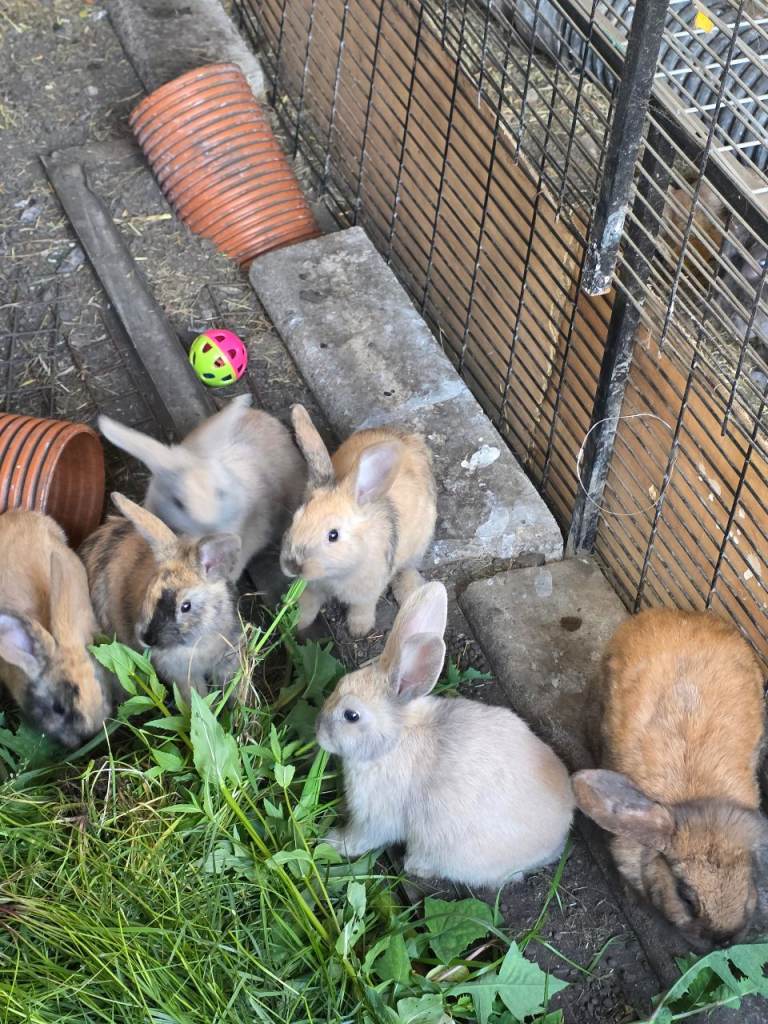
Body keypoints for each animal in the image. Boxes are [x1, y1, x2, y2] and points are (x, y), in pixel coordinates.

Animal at [280, 404, 437, 637]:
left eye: (333, 535)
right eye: (295, 518)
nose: (292, 565)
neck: (335, 574)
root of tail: (413, 440)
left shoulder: (368, 592)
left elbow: (362, 608)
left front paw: (359, 630)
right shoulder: (312, 589)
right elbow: (307, 607)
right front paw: (296, 625)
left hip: (420, 543)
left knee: (408, 568)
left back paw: (409, 591)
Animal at [315, 581, 574, 887]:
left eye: (351, 716)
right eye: (341, 683)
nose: (319, 732)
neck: (395, 740)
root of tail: (558, 837)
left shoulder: (376, 817)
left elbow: (361, 838)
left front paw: (331, 842)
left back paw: (417, 866)